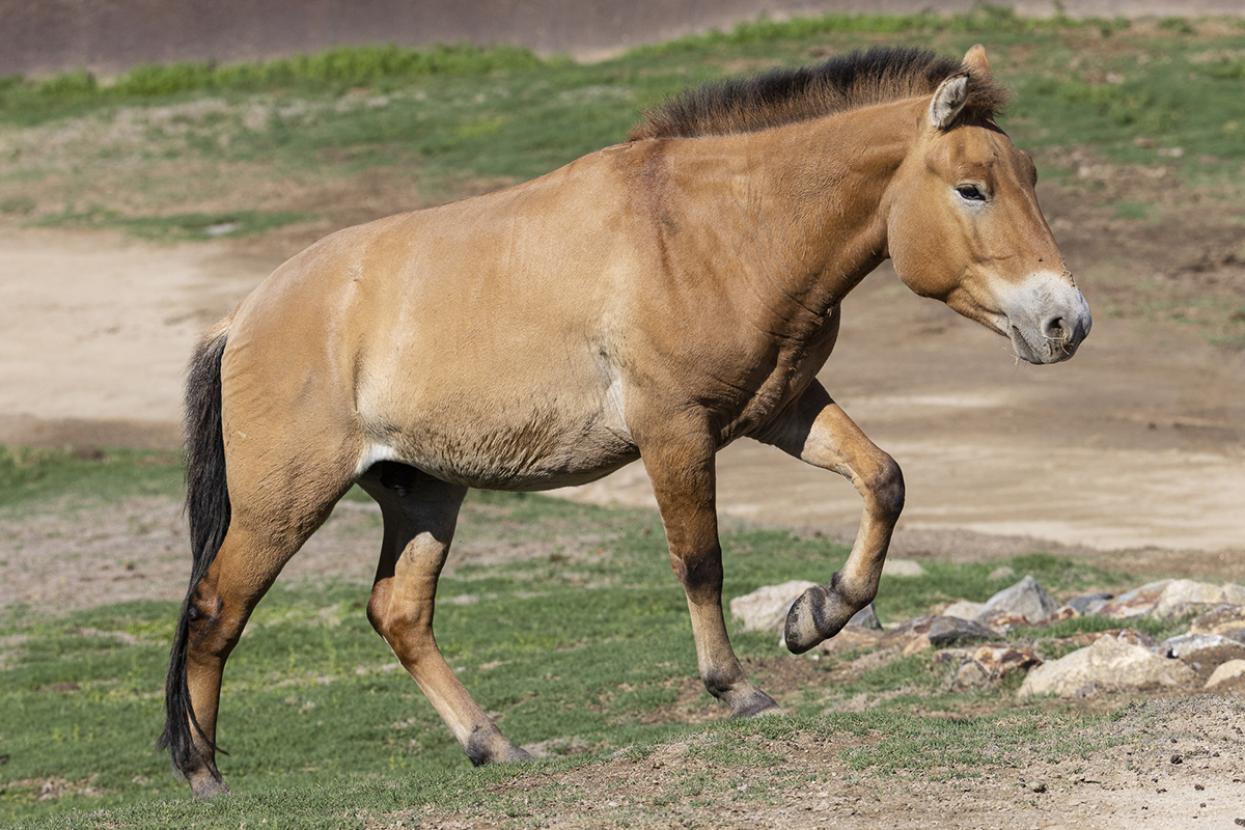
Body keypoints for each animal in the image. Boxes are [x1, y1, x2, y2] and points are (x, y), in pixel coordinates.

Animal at [159, 44, 1091, 797]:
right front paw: (738, 688)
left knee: (399, 614)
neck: (714, 229)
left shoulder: (780, 408)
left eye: (1031, 177)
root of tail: (242, 317)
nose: (1065, 322)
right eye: (971, 189)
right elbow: (700, 561)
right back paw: (203, 772)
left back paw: (494, 745)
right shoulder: (674, 433)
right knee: (215, 610)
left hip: (422, 492)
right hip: (285, 504)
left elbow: (884, 481)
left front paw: (814, 617)